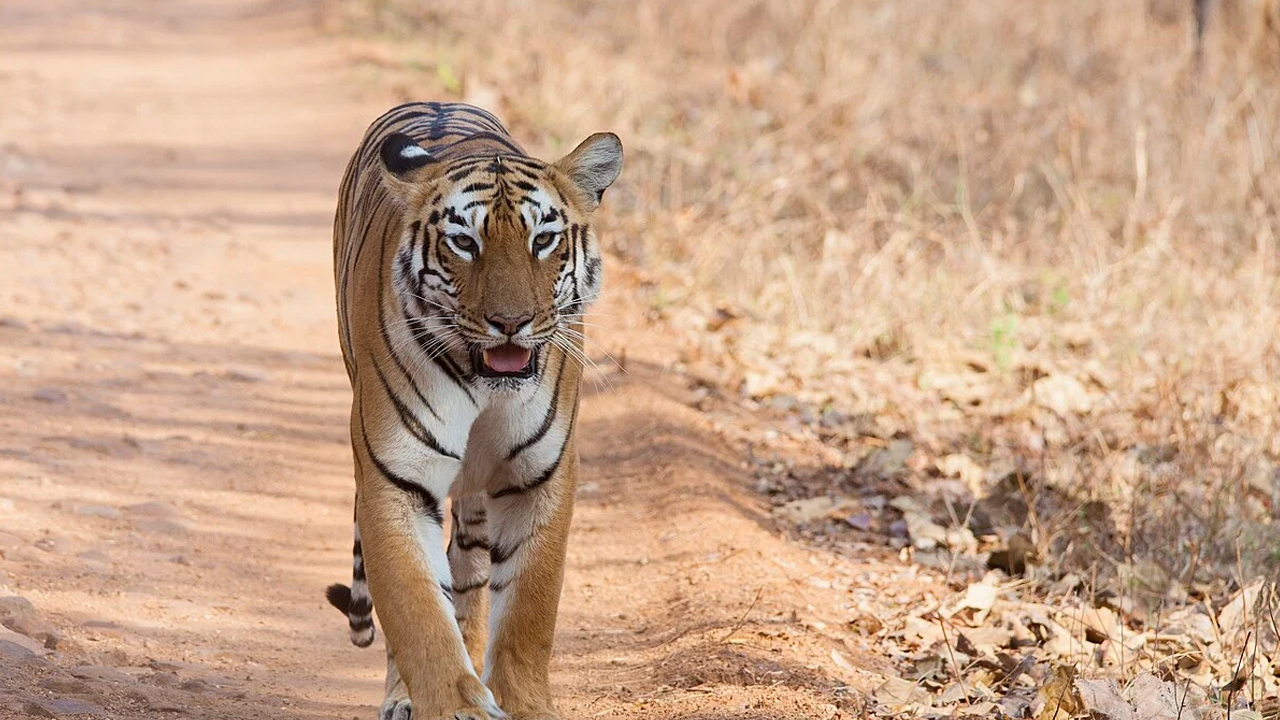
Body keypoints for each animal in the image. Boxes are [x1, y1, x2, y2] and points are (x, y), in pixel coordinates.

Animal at [325, 101, 622, 720]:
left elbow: (528, 613)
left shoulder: (540, 477)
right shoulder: (395, 480)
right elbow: (417, 615)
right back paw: (401, 697)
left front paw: (522, 705)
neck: (488, 387)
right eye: (464, 242)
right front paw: (451, 705)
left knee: (469, 576)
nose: (510, 322)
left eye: (543, 239)